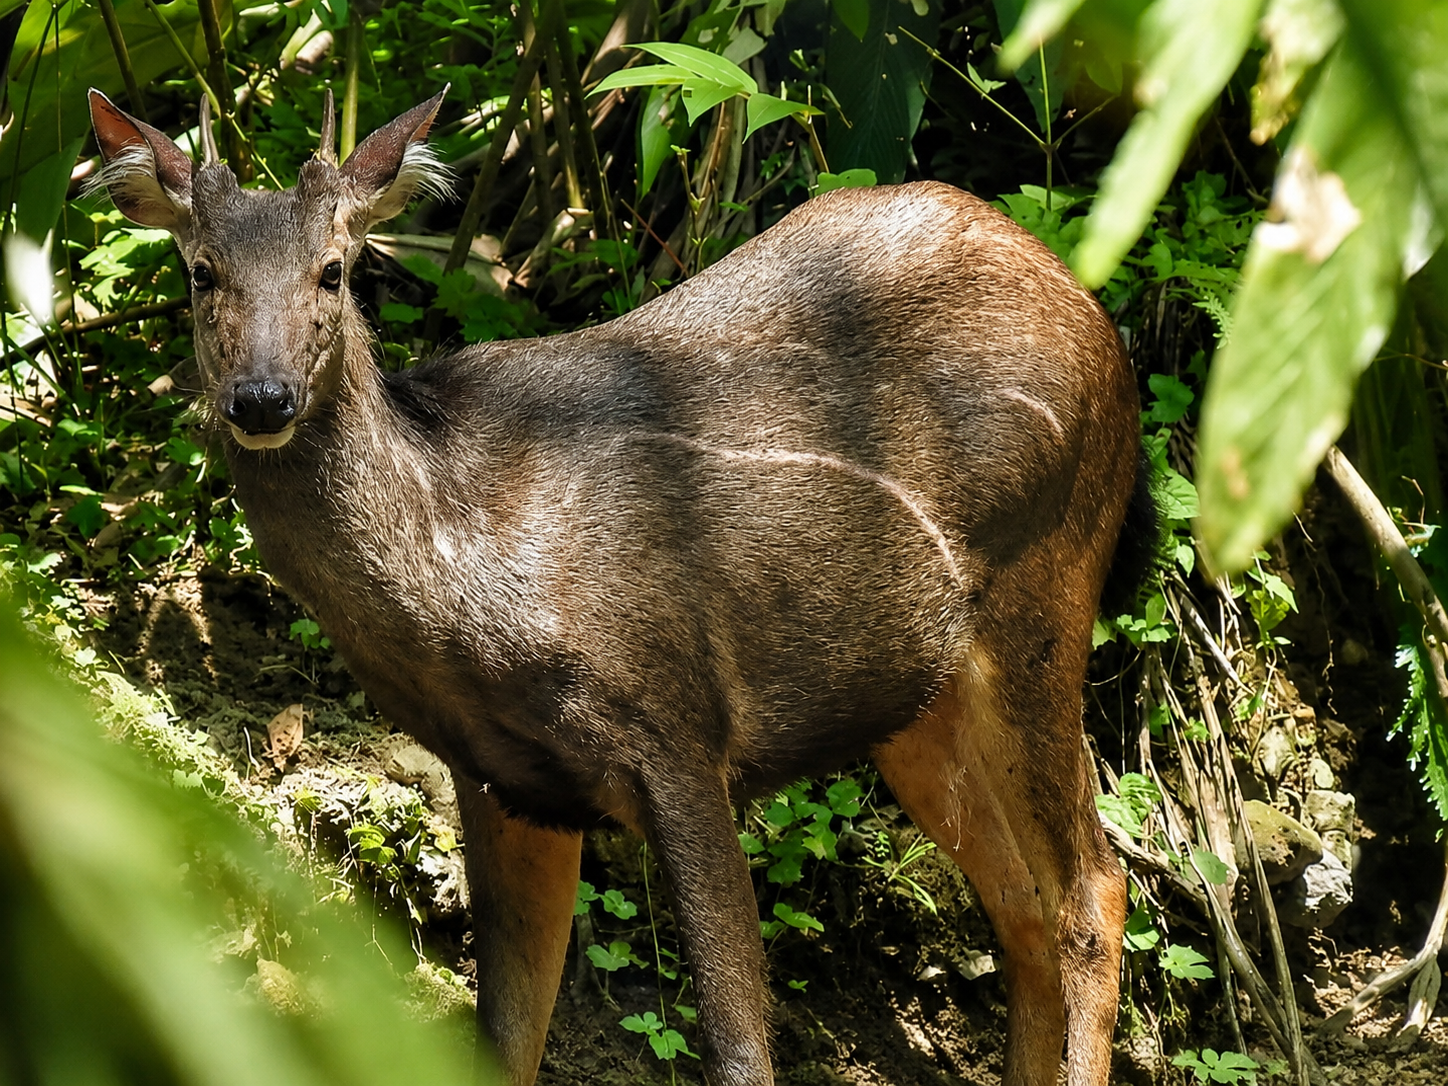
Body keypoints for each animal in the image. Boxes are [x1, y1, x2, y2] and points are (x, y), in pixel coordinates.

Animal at [88, 86, 1152, 1086]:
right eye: (200, 272)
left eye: (335, 269)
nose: (261, 398)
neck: (466, 585)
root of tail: (1088, 300)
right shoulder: (508, 783)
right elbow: (507, 1040)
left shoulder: (675, 726)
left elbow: (737, 1048)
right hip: (912, 697)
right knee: (1020, 906)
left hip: (1047, 577)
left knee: (1092, 890)